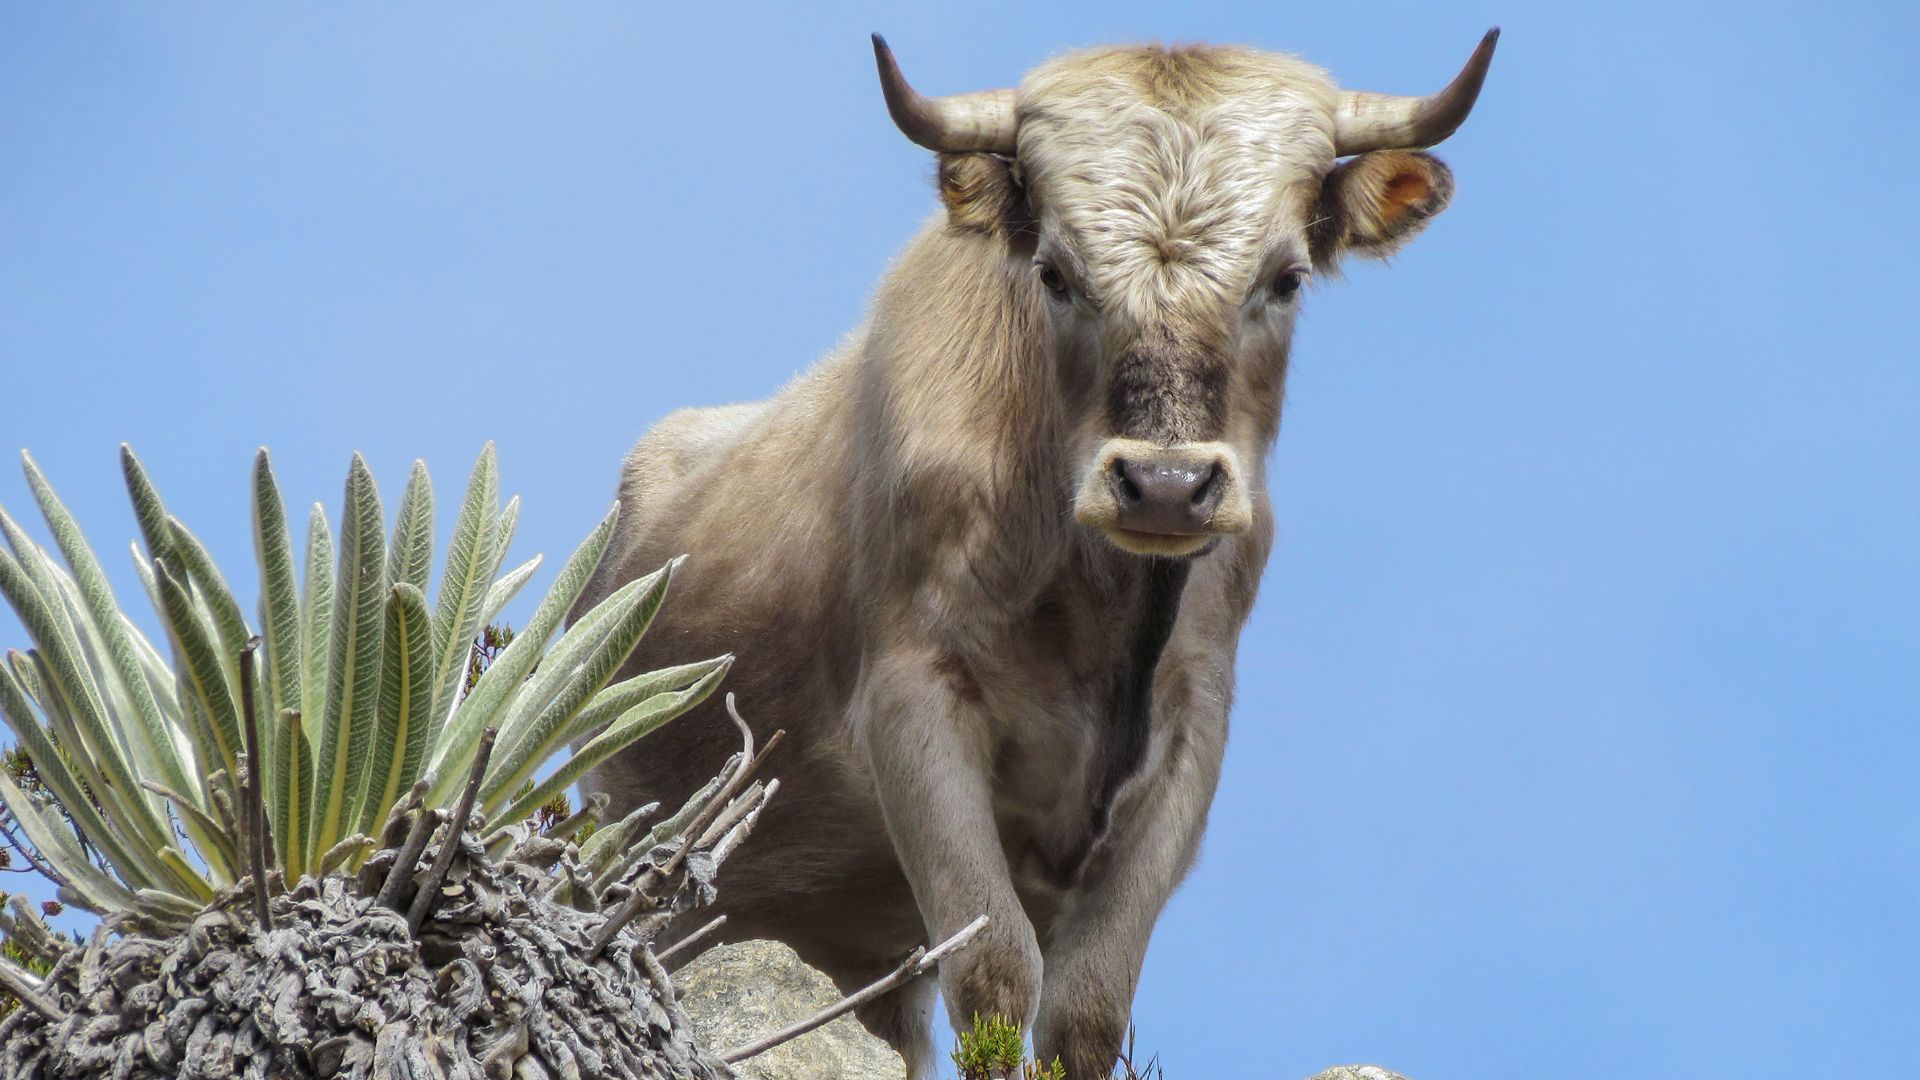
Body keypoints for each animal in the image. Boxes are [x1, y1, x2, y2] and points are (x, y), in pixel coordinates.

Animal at [576, 31, 1498, 1079]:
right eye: (1055, 273)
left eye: (1288, 276)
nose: (1166, 485)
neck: (1097, 611)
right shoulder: (913, 700)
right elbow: (995, 974)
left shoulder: (1193, 731)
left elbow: (1088, 1006)